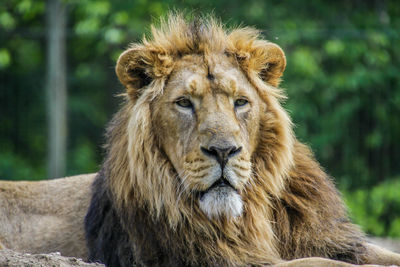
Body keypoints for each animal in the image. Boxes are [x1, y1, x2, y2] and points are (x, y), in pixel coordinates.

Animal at [83, 14, 400, 267]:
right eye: (184, 103)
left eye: (240, 102)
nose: (223, 151)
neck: (248, 216)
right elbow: (318, 262)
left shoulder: (331, 240)